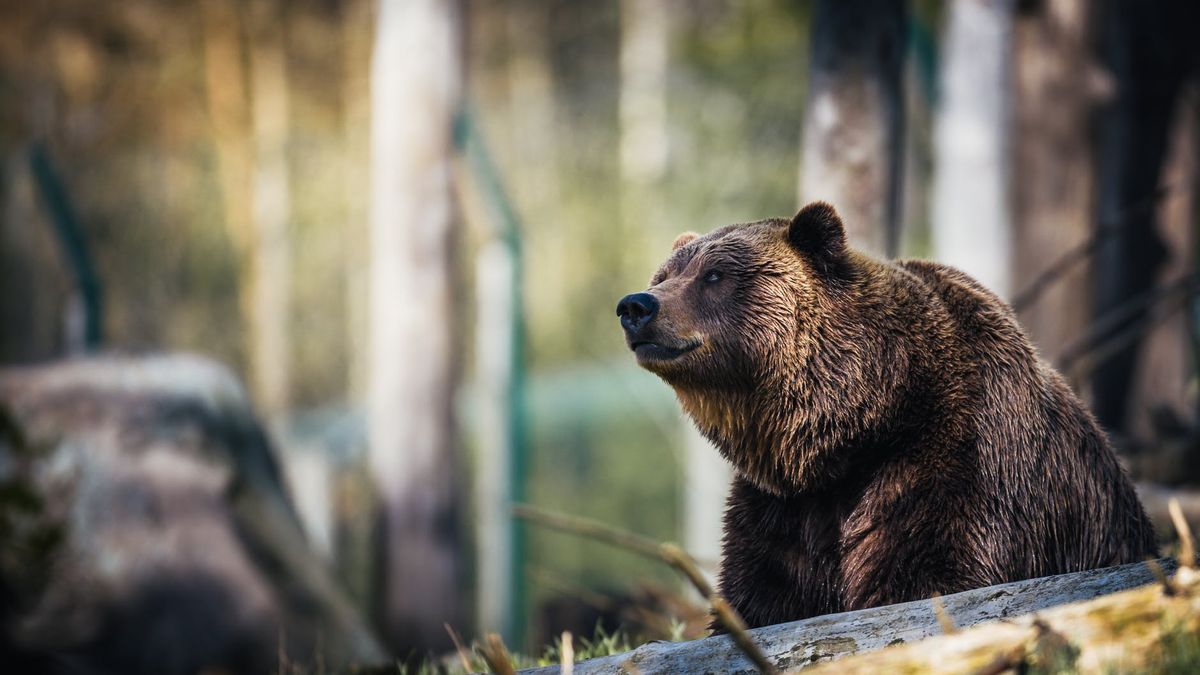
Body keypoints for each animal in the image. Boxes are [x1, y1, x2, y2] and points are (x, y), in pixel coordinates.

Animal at [614, 201, 1156, 629]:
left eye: (714, 275)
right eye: (664, 275)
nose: (636, 305)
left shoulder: (956, 458)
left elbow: (929, 574)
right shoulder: (783, 508)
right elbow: (763, 595)